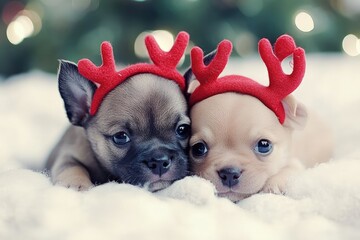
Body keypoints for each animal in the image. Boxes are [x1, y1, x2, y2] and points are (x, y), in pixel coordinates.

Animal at [46, 31, 191, 191]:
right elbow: (72, 167)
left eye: (183, 130)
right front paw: (76, 185)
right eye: (121, 137)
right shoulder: (67, 156)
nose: (159, 160)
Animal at [187, 34, 334, 202]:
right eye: (198, 148)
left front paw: (275, 184)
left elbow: (289, 169)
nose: (230, 173)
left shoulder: (295, 163)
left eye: (264, 145)